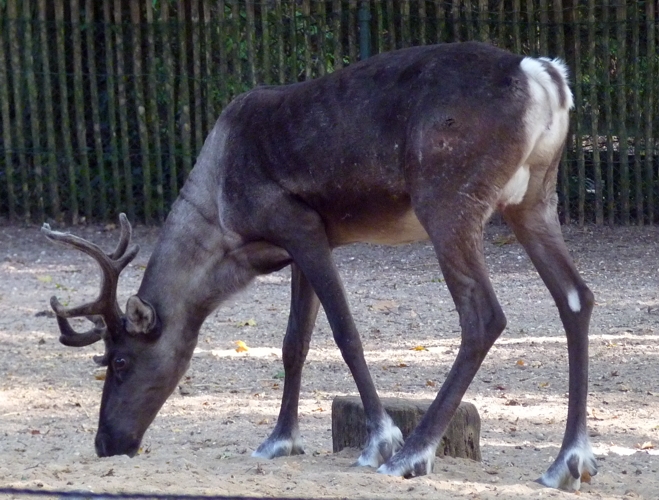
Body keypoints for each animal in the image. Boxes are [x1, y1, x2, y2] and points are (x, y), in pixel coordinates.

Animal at [42, 41, 597, 491]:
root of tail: (544, 75)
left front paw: (380, 440)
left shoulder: (301, 226)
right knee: (576, 297)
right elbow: (295, 344)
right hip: (534, 199)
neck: (225, 226)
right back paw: (567, 462)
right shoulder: (303, 246)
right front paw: (279, 440)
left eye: (119, 362)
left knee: (484, 315)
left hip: (448, 201)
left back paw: (413, 453)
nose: (106, 443)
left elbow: (346, 333)